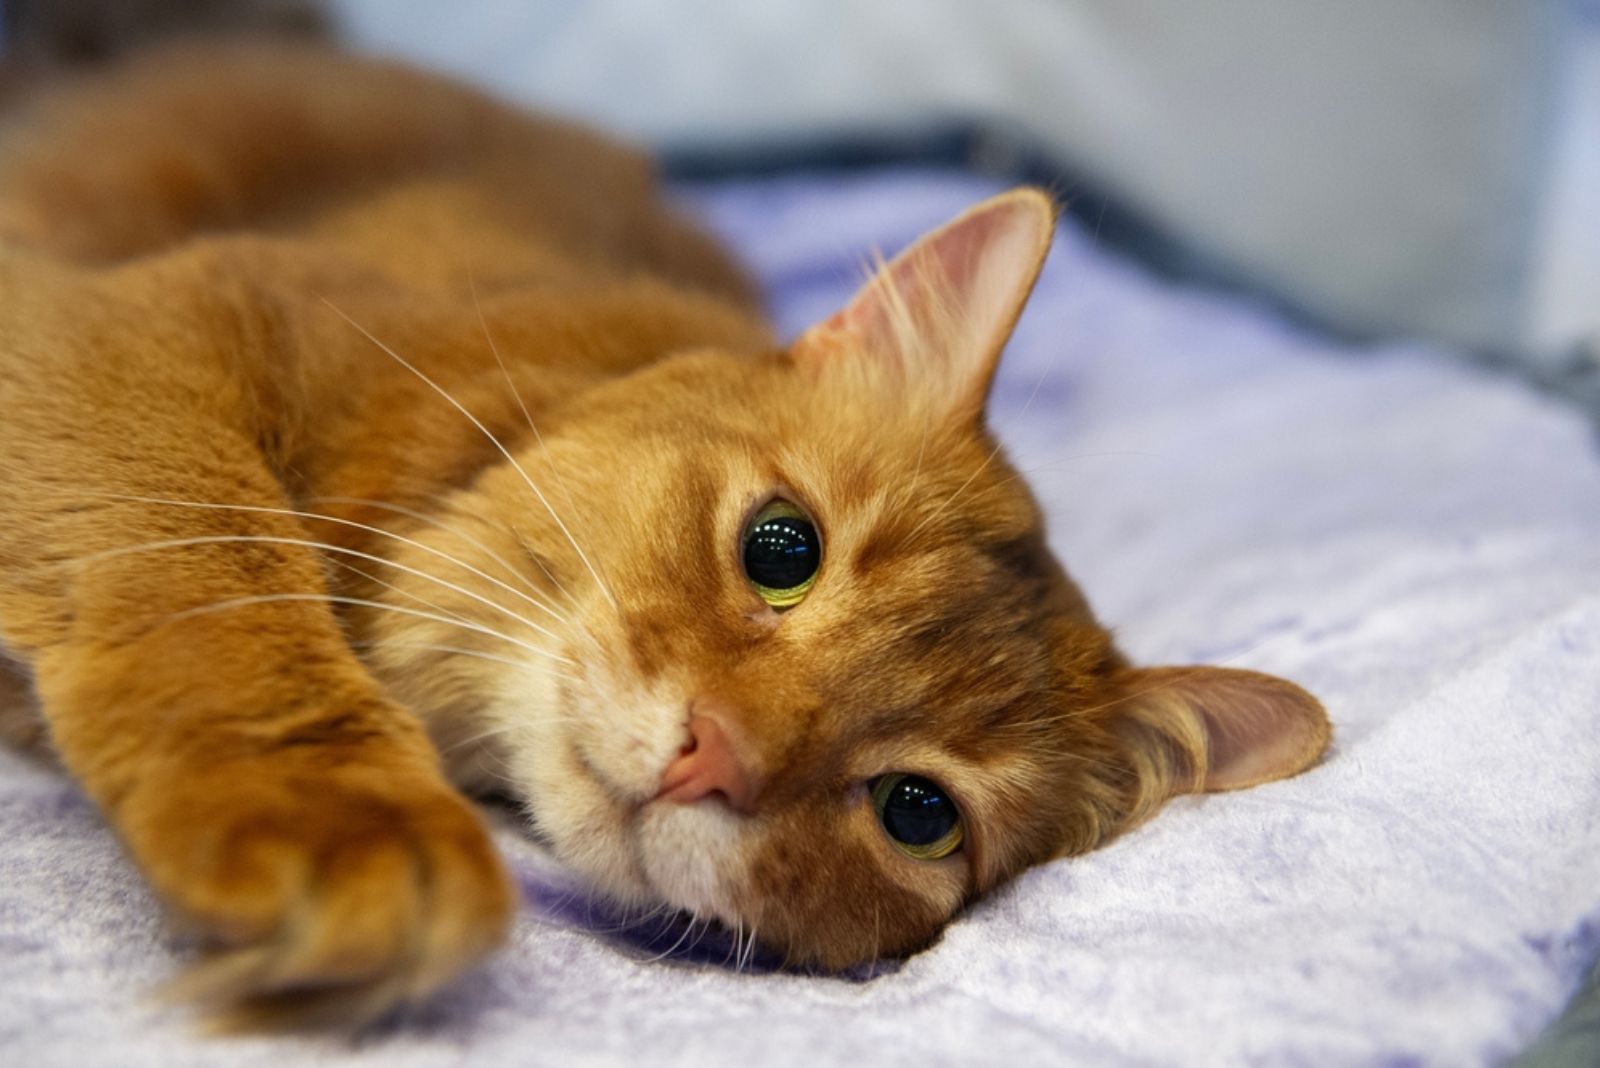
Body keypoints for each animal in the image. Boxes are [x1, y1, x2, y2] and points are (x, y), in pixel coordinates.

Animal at [0, 43, 1324, 1036]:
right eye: (782, 549)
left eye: (916, 813)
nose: (712, 759)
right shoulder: (132, 324)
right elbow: (210, 575)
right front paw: (335, 819)